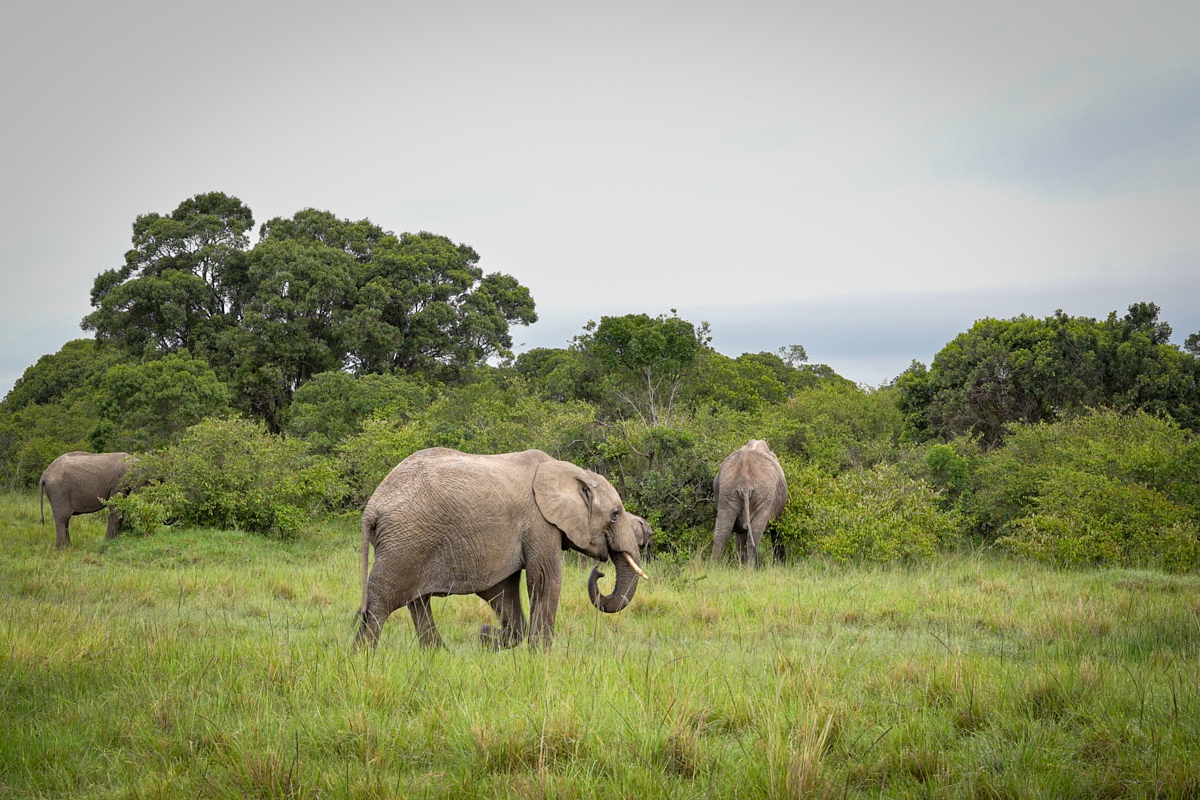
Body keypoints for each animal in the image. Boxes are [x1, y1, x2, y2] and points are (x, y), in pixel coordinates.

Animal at [357, 447, 649, 650]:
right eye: (615, 515)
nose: (599, 572)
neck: (573, 473)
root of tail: (373, 506)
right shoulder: (540, 522)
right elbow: (545, 579)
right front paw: (541, 658)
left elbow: (502, 589)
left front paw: (488, 638)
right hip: (405, 541)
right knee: (381, 603)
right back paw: (363, 658)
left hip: (410, 543)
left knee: (417, 601)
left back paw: (438, 655)